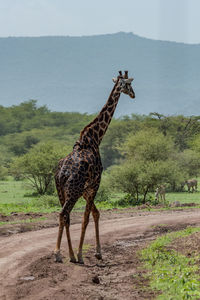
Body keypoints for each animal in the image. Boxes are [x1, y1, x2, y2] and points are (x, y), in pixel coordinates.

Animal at [54, 70, 135, 262]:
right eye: (129, 84)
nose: (134, 94)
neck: (95, 138)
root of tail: (62, 173)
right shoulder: (95, 183)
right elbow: (86, 217)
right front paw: (81, 254)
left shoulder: (86, 189)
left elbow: (95, 213)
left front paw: (96, 252)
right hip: (73, 191)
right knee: (64, 214)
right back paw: (59, 253)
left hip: (62, 191)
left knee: (66, 216)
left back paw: (68, 254)